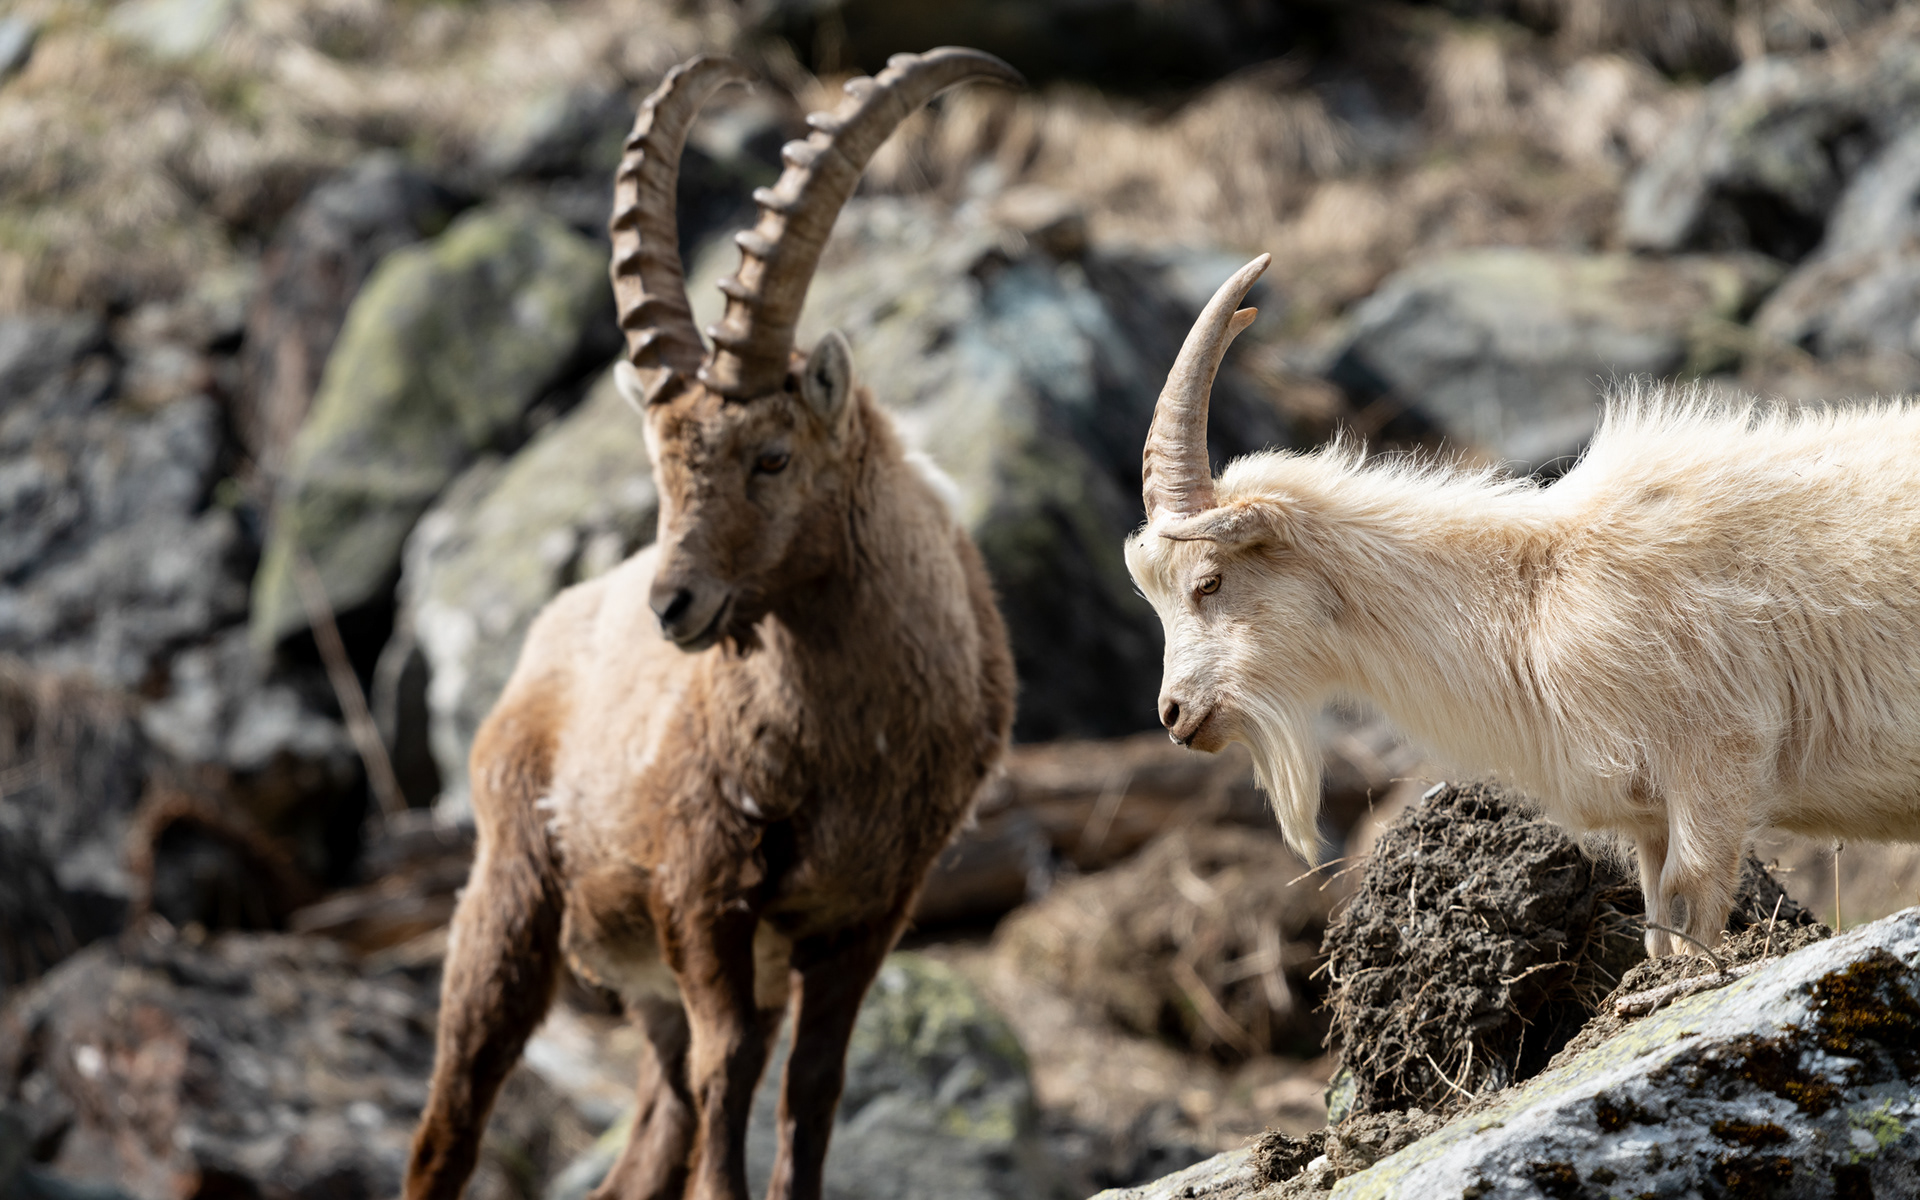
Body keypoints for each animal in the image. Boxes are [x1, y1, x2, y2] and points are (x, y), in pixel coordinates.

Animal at [403, 50, 1018, 1200]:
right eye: (659, 466)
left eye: (771, 457)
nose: (671, 605)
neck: (849, 742)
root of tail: (541, 642)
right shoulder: (704, 886)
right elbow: (731, 1067)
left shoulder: (867, 911)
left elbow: (811, 1087)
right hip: (513, 898)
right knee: (452, 1126)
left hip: (647, 991)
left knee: (649, 1137)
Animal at [1126, 254, 1920, 957]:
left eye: (1208, 582)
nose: (1173, 715)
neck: (1535, 594)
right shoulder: (1649, 814)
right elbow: (1659, 922)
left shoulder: (1717, 759)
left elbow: (1691, 909)